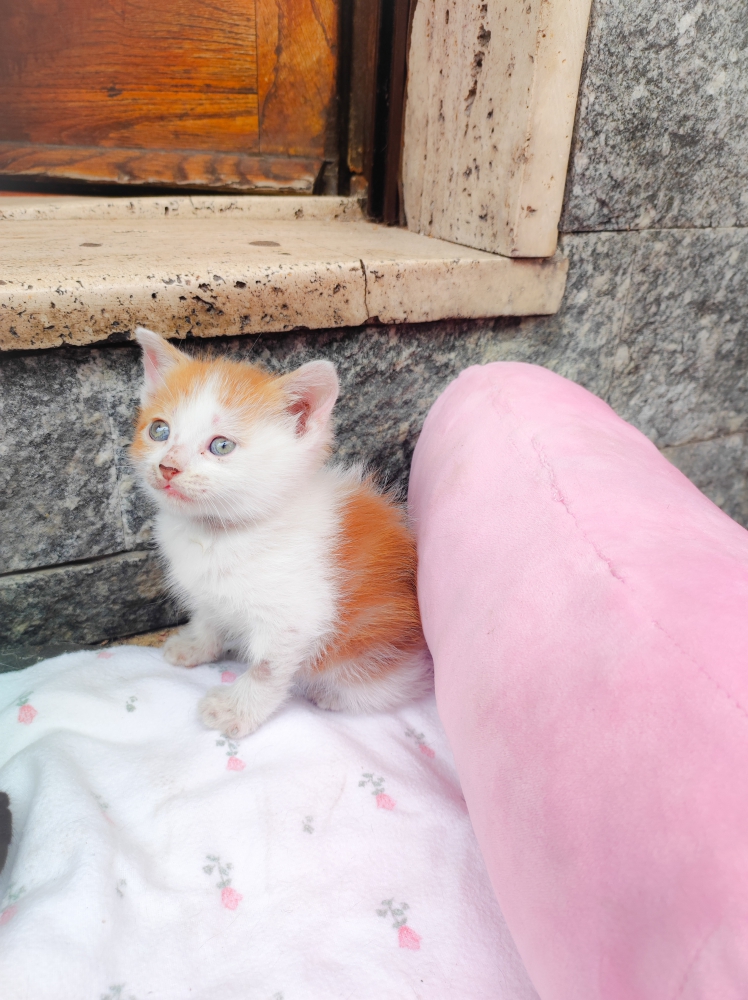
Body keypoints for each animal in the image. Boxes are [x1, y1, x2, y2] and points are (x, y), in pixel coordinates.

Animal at [131, 328, 430, 736]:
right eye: (159, 430)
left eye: (221, 445)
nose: (167, 466)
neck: (218, 533)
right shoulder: (207, 591)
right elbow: (208, 618)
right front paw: (196, 646)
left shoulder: (296, 617)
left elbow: (266, 668)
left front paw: (235, 711)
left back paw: (332, 695)